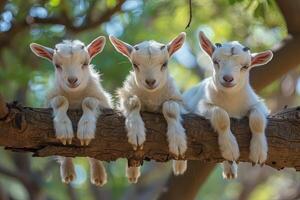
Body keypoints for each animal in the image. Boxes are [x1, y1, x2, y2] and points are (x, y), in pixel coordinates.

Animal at [29, 36, 112, 187]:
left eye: (85, 63)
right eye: (57, 65)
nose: (72, 80)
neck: (75, 95)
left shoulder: (103, 101)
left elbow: (88, 102)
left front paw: (85, 131)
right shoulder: (51, 99)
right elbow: (60, 101)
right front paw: (65, 130)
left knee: (95, 157)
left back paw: (98, 176)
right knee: (64, 156)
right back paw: (68, 173)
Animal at [109, 32, 189, 183]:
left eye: (165, 64)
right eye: (134, 64)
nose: (150, 82)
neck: (152, 98)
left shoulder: (177, 99)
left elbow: (170, 109)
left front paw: (177, 143)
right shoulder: (125, 95)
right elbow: (134, 103)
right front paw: (136, 133)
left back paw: (180, 166)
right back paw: (133, 173)